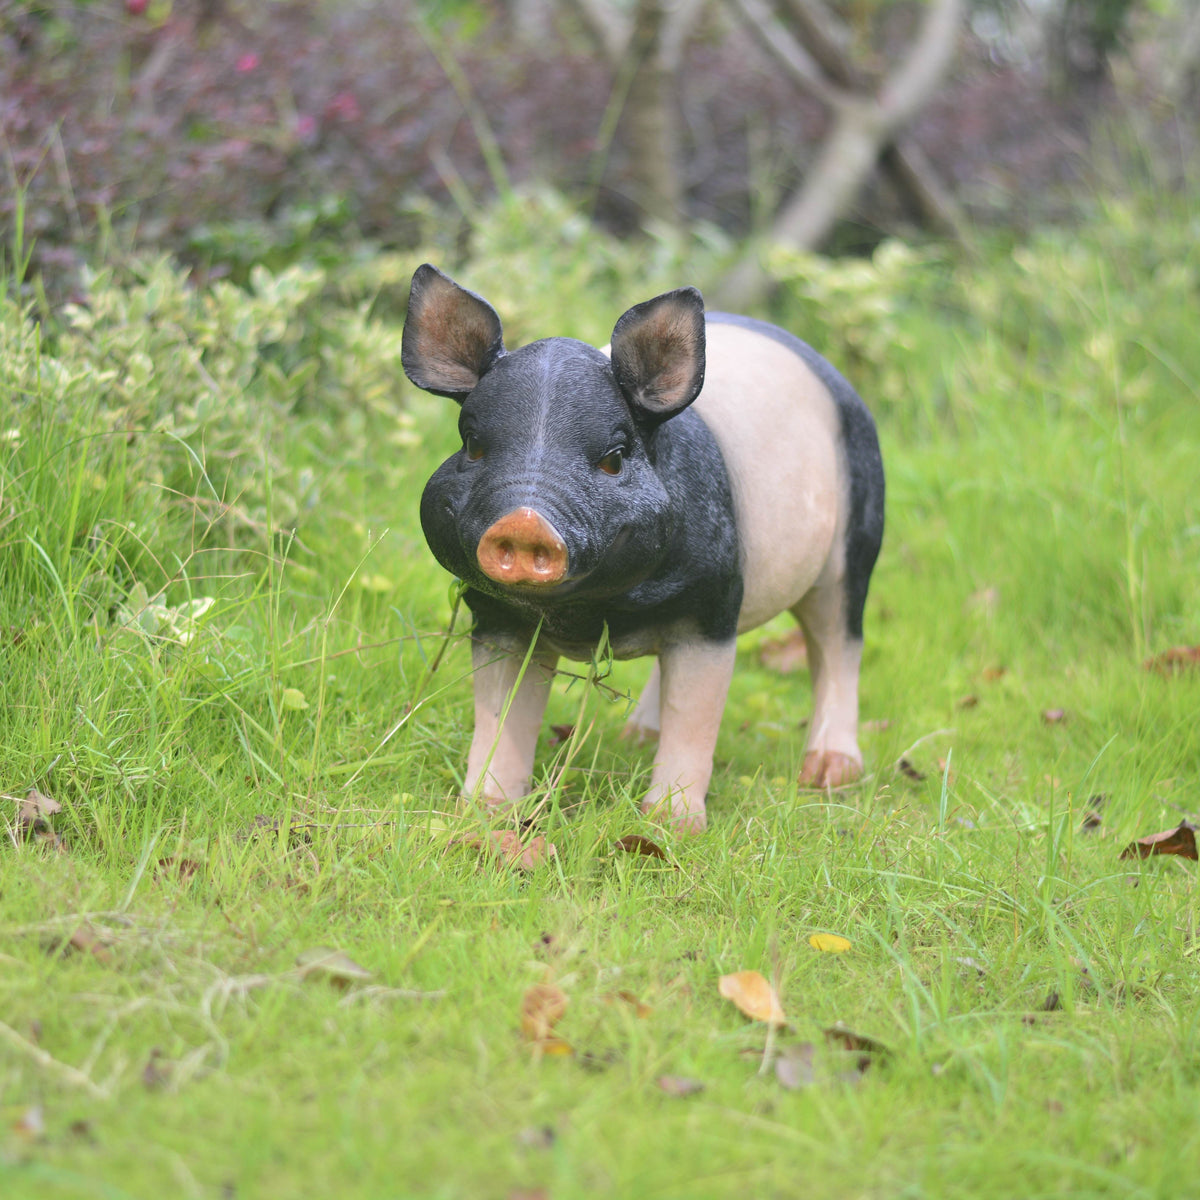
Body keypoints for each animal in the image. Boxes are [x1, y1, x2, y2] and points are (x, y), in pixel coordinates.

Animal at [402, 264, 884, 833]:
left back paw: (829, 776)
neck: (585, 613)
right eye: (473, 445)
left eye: (614, 456)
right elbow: (502, 711)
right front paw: (483, 812)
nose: (523, 522)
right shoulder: (497, 618)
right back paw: (636, 738)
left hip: (858, 537)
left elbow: (695, 717)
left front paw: (670, 826)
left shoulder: (712, 608)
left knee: (839, 644)